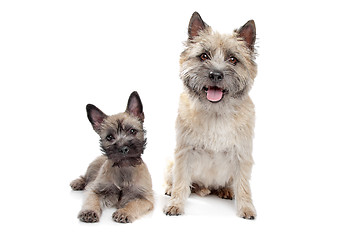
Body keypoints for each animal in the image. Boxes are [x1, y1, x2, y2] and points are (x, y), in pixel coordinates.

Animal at [70, 91, 153, 223]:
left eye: (132, 131)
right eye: (109, 137)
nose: (123, 149)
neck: (124, 169)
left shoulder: (145, 199)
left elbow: (133, 204)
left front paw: (124, 212)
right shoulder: (94, 189)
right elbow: (91, 200)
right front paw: (89, 211)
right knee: (85, 177)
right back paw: (78, 182)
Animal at [165, 11, 258, 219]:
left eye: (233, 59)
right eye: (204, 56)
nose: (216, 74)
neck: (216, 113)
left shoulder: (242, 155)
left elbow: (244, 185)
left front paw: (246, 208)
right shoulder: (183, 152)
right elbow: (181, 181)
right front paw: (175, 204)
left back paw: (225, 190)